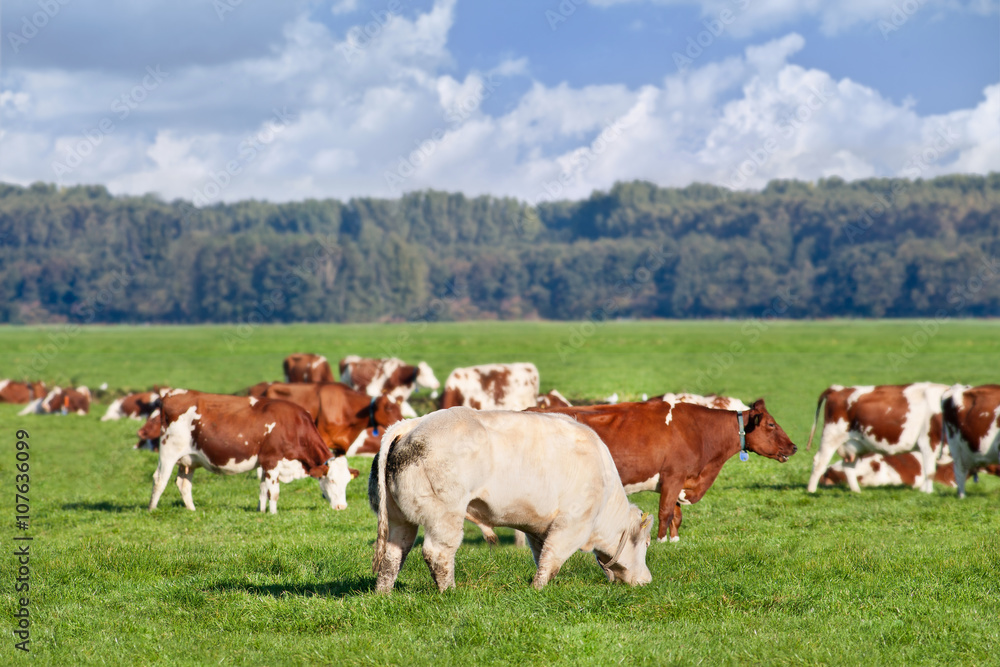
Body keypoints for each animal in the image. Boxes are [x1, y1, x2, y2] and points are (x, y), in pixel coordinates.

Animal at [145, 394, 356, 516]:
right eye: (332, 481)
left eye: (347, 482)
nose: (342, 507)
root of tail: (172, 395)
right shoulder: (272, 461)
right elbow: (274, 492)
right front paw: (273, 514)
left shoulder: (264, 464)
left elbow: (263, 490)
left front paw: (260, 511)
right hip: (169, 451)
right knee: (159, 480)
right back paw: (152, 509)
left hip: (188, 460)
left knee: (183, 483)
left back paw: (192, 510)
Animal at [372, 410, 652, 592]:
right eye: (647, 543)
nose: (647, 580)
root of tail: (412, 424)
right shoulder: (573, 524)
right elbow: (552, 558)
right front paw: (537, 589)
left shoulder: (539, 528)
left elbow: (541, 555)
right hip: (444, 516)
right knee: (438, 553)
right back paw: (449, 591)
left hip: (399, 518)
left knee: (394, 553)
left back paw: (383, 592)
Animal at [532, 396, 796, 544]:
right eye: (771, 424)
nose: (793, 447)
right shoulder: (673, 476)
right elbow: (665, 512)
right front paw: (660, 542)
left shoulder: (680, 481)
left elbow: (677, 515)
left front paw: (675, 540)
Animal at [800, 384, 948, 494]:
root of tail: (838, 389)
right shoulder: (929, 441)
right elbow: (930, 470)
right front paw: (927, 492)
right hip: (831, 436)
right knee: (819, 462)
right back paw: (811, 490)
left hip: (854, 445)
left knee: (848, 466)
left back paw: (856, 491)